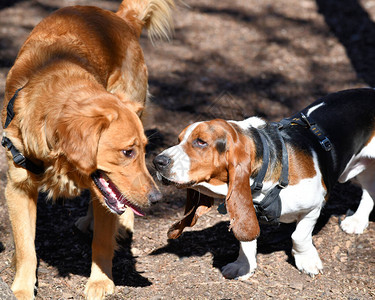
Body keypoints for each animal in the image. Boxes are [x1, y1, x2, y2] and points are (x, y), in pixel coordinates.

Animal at [1, 1, 174, 298]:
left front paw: (100, 282)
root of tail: (120, 18)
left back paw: (122, 224)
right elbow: (26, 247)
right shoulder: (17, 188)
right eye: (127, 152)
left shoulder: (105, 194)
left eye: (142, 151)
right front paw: (23, 287)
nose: (156, 199)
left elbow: (101, 242)